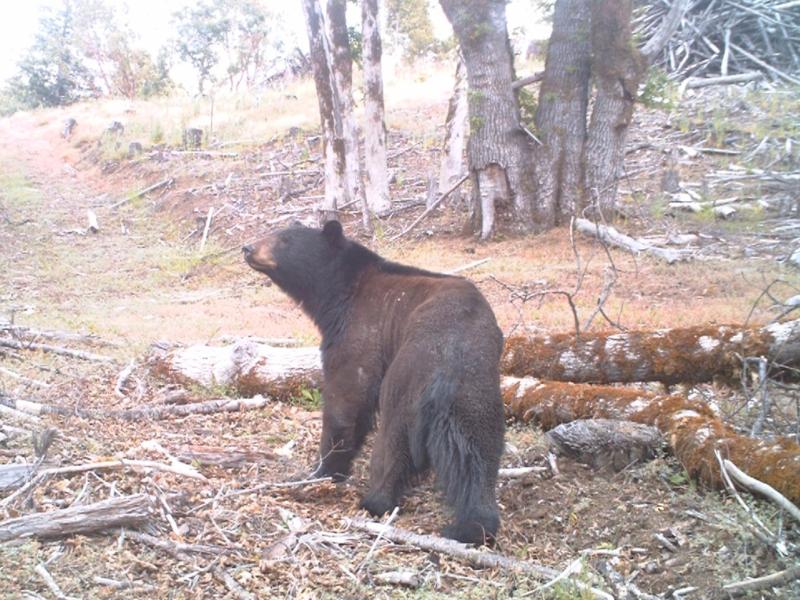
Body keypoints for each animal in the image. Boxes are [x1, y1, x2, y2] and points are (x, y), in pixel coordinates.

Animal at [243, 220, 505, 545]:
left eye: (284, 240)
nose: (248, 247)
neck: (340, 292)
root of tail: (448, 355)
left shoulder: (360, 331)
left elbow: (347, 397)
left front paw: (323, 470)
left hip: (405, 381)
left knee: (393, 440)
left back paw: (375, 500)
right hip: (476, 391)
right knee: (477, 453)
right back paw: (473, 524)